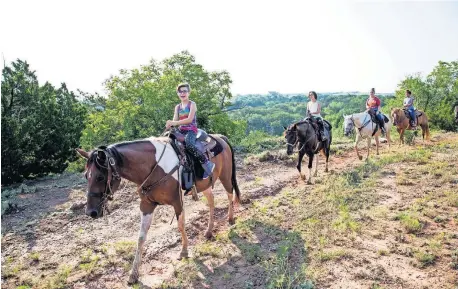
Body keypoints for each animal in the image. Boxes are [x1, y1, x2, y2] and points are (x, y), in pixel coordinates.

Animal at [75, 134, 240, 282]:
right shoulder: (146, 205)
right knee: (212, 202)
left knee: (230, 194)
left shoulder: (177, 201)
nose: (91, 212)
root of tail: (220, 137)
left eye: (100, 177)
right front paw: (133, 274)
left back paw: (231, 219)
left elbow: (180, 226)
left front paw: (184, 251)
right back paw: (209, 231)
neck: (154, 167)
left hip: (225, 177)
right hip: (205, 185)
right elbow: (141, 237)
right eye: (86, 176)